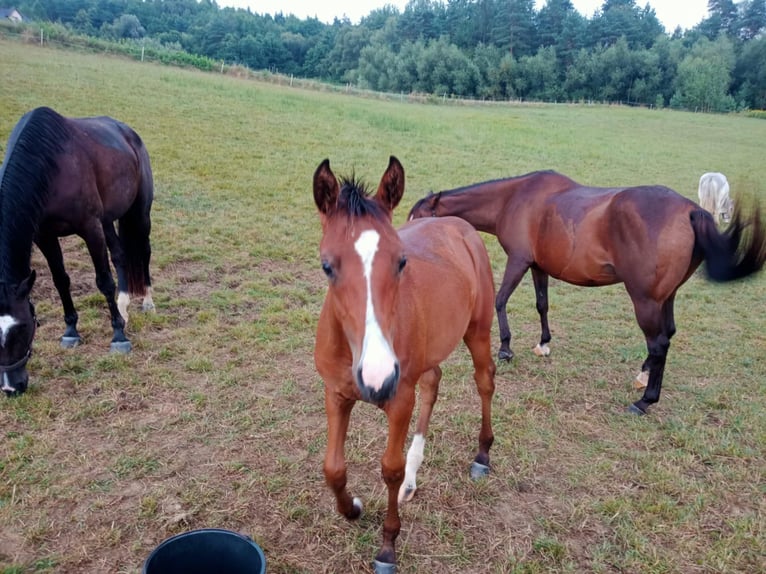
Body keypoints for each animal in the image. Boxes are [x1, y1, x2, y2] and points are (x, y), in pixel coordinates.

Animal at [0, 107, 156, 396]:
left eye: (22, 328)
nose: (10, 388)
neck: (50, 166)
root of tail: (129, 133)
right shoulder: (45, 236)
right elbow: (61, 281)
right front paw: (71, 330)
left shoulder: (90, 227)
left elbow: (104, 281)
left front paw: (119, 336)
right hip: (108, 220)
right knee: (120, 255)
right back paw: (123, 305)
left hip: (139, 213)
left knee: (144, 252)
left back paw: (147, 301)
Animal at [316, 158, 500, 574]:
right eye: (326, 266)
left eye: (401, 261)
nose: (377, 377)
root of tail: (459, 225)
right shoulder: (336, 393)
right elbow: (333, 468)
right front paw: (352, 508)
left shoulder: (399, 398)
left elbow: (389, 468)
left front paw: (387, 547)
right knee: (433, 383)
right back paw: (413, 480)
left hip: (477, 331)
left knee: (485, 381)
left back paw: (481, 456)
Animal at [412, 169, 764, 416]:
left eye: (420, 218)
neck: (513, 198)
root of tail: (691, 210)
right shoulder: (539, 266)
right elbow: (542, 304)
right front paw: (543, 344)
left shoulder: (519, 260)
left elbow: (500, 300)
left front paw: (506, 348)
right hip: (666, 297)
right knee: (667, 335)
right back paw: (643, 374)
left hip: (645, 300)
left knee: (659, 342)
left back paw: (645, 400)